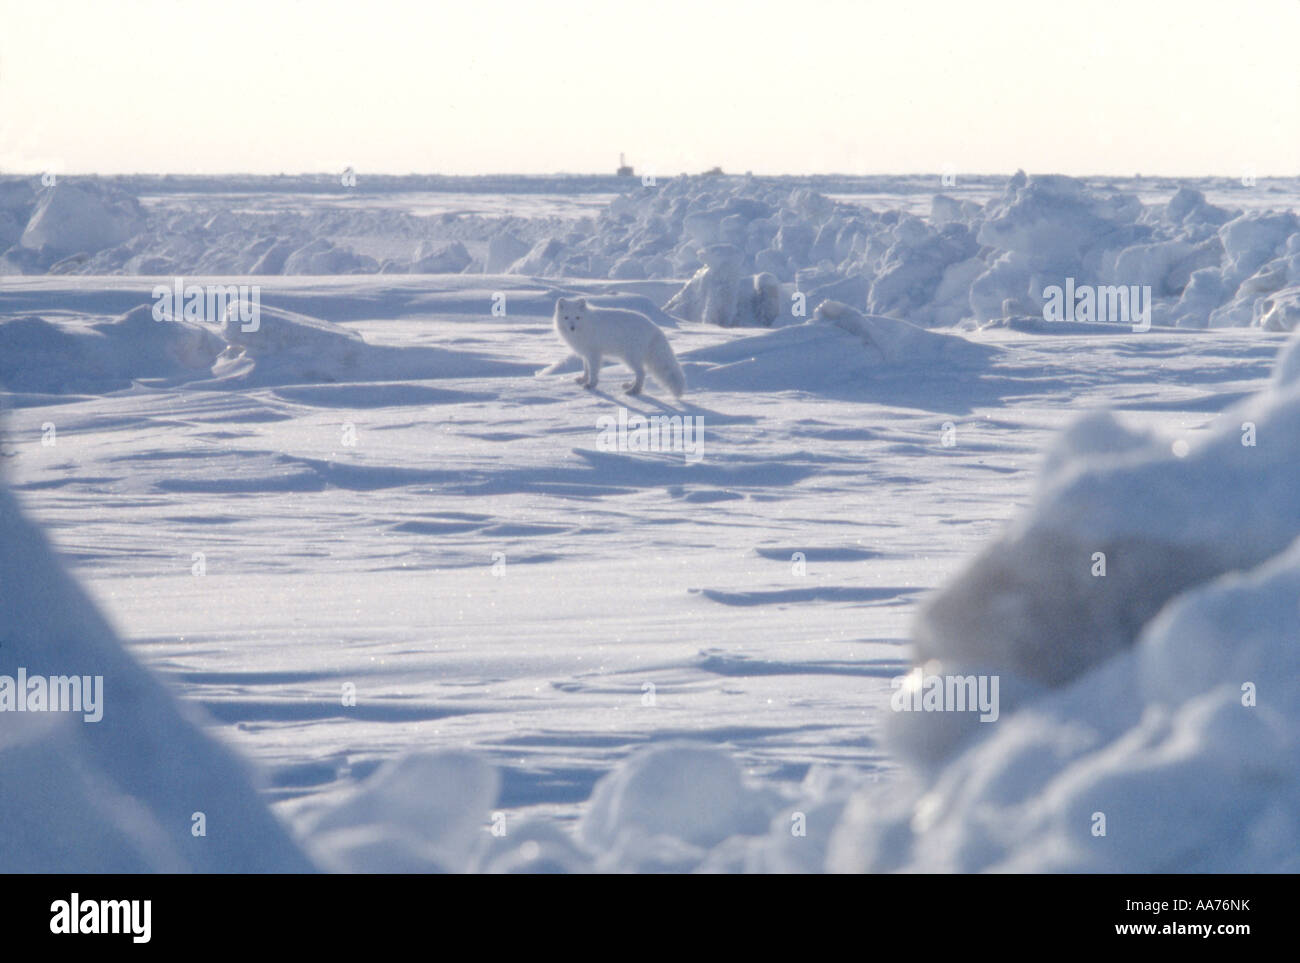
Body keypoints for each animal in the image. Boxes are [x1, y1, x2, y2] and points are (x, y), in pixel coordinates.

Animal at [553, 296, 686, 398]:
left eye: (577, 317)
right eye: (566, 317)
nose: (572, 328)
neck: (586, 325)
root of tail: (655, 327)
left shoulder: (594, 354)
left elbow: (594, 371)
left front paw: (591, 385)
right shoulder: (585, 353)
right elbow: (586, 369)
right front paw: (583, 379)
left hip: (629, 357)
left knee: (642, 373)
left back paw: (634, 390)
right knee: (641, 373)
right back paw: (630, 385)